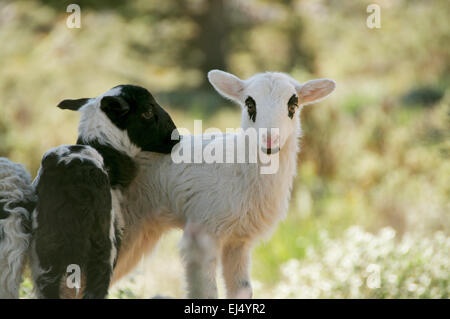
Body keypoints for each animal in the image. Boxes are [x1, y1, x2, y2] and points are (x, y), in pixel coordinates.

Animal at [114, 71, 336, 298]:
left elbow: (243, 290)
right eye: (249, 104)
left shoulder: (239, 241)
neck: (237, 167)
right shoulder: (201, 234)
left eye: (293, 105)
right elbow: (207, 293)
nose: (269, 140)